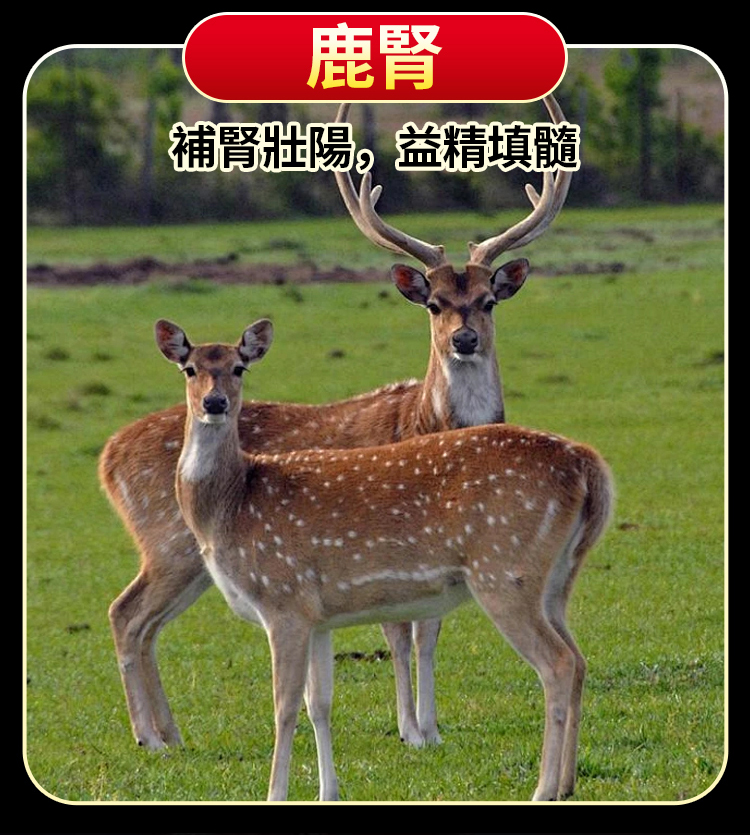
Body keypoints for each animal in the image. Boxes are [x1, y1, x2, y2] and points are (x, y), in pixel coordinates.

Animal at [99, 95, 573, 753]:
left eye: (489, 300)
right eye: (434, 304)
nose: (465, 339)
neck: (423, 420)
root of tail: (107, 458)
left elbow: (430, 628)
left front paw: (431, 727)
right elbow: (401, 631)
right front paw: (411, 730)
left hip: (190, 557)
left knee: (143, 622)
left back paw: (169, 734)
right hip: (167, 541)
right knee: (126, 612)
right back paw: (150, 737)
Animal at [155, 316, 613, 801]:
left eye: (239, 367)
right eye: (189, 368)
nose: (214, 402)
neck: (232, 506)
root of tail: (589, 466)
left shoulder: (283, 599)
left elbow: (284, 707)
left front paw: (275, 793)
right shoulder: (318, 615)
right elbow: (320, 703)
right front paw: (328, 792)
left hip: (505, 571)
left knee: (557, 663)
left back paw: (543, 788)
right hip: (556, 577)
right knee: (579, 658)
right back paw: (567, 783)